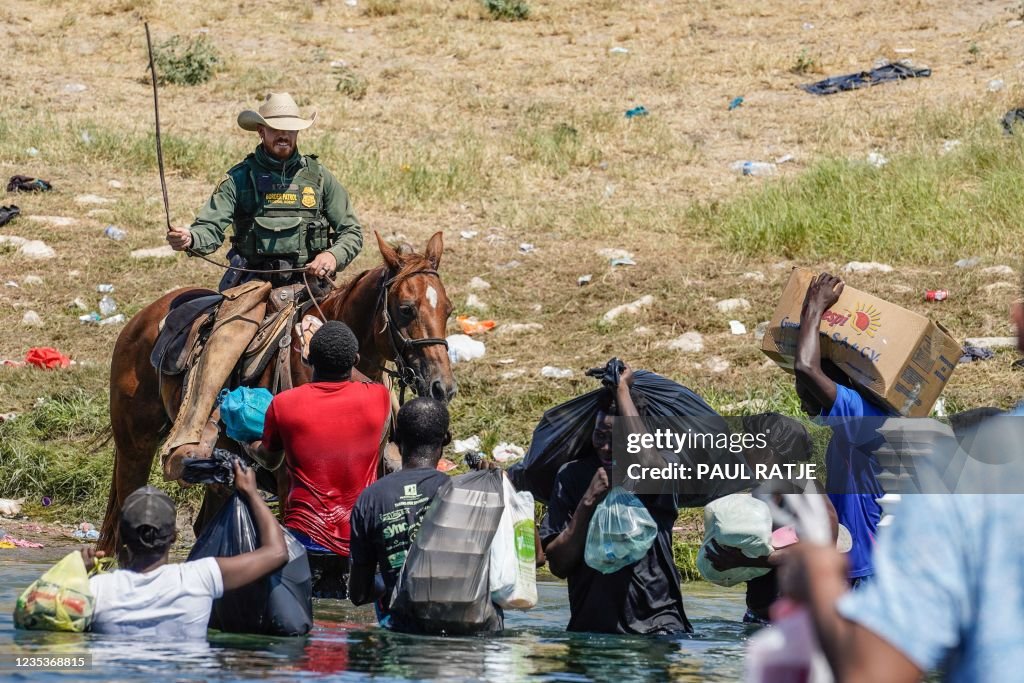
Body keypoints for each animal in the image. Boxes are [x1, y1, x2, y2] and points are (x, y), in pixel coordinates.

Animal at [98, 232, 452, 552]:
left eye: (448, 310)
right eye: (406, 309)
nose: (442, 386)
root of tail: (142, 318)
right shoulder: (289, 482)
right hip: (135, 448)